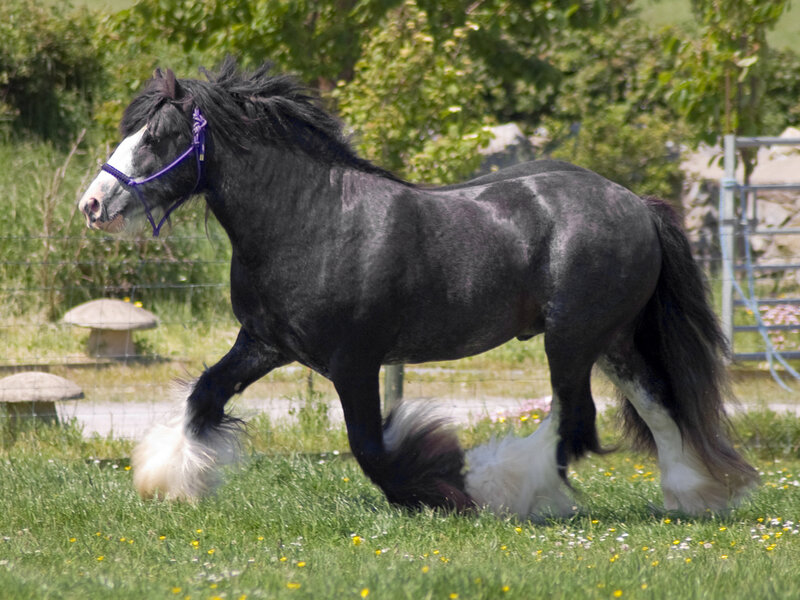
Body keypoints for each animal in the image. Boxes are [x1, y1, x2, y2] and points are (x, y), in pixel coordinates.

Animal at [77, 60, 758, 518]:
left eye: (156, 138)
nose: (93, 204)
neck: (311, 218)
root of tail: (635, 203)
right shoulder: (264, 344)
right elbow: (205, 397)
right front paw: (170, 480)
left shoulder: (354, 360)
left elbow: (370, 447)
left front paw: (440, 486)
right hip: (610, 340)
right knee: (657, 406)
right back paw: (691, 495)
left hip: (571, 338)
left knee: (575, 419)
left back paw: (507, 489)